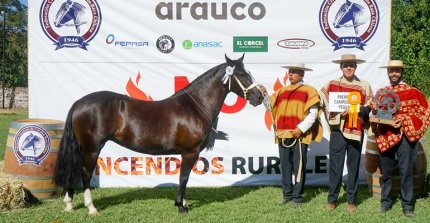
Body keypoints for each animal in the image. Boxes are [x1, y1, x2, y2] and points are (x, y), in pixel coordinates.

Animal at [55, 54, 264, 214]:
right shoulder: (190, 152)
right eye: (241, 74)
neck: (195, 106)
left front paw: (183, 203)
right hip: (92, 148)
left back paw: (69, 205)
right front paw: (181, 206)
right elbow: (184, 178)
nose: (259, 97)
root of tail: (79, 102)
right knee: (84, 173)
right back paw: (91, 208)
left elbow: (184, 178)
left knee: (74, 170)